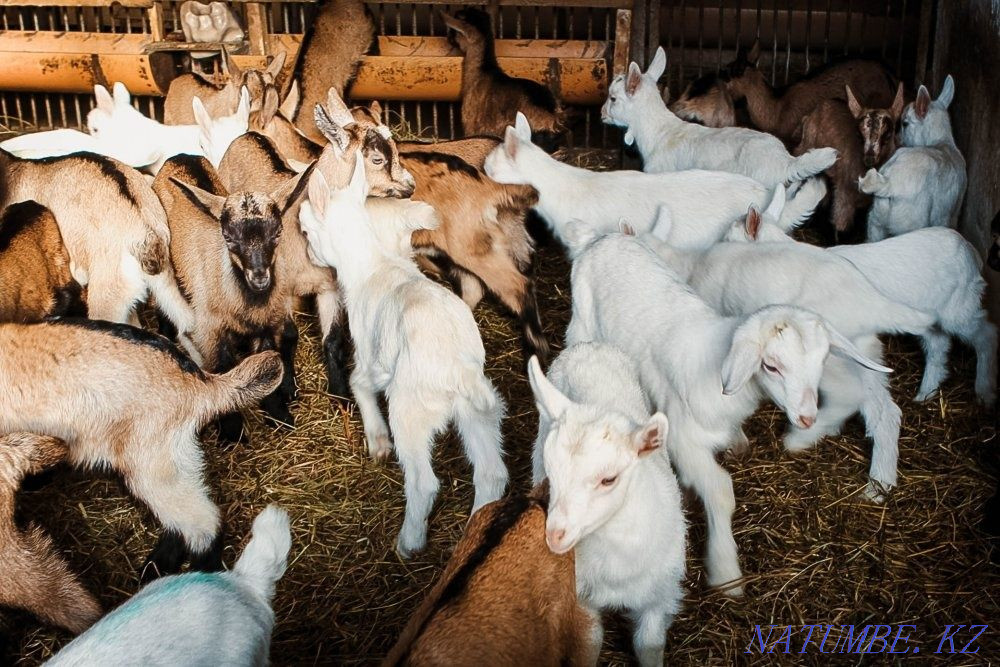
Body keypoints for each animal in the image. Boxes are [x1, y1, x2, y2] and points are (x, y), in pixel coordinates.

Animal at [152, 155, 313, 439]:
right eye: (228, 237)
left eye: (277, 233)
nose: (259, 278)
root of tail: (180, 156)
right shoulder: (211, 330)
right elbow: (222, 367)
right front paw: (232, 431)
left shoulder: (265, 325)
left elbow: (269, 357)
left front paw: (279, 415)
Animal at [299, 156, 508, 557]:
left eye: (305, 230)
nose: (312, 257)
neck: (372, 266)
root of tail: (457, 371)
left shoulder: (371, 357)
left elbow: (357, 382)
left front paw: (378, 442)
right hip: (481, 409)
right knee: (492, 474)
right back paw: (474, 529)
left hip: (410, 408)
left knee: (424, 482)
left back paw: (408, 542)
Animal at [529, 348, 685, 667]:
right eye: (551, 474)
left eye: (608, 479)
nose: (555, 536)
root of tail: (588, 347)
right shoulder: (581, 600)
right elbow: (588, 646)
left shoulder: (659, 597)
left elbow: (650, 646)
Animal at [566, 227, 889, 595]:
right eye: (771, 366)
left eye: (822, 359)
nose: (808, 417)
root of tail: (600, 238)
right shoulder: (684, 442)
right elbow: (720, 491)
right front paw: (726, 572)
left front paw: (739, 442)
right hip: (581, 323)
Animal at [859, 76, 967, 241]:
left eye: (905, 123)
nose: (898, 139)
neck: (942, 142)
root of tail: (889, 183)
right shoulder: (952, 213)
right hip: (910, 222)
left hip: (876, 221)